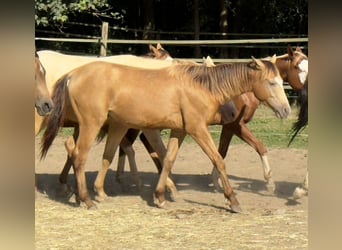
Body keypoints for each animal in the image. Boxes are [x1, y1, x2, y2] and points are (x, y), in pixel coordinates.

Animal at [40, 56, 292, 213]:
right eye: (271, 83)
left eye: (282, 81)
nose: (287, 110)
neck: (202, 86)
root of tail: (72, 75)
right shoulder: (197, 129)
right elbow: (219, 160)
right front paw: (233, 201)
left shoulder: (179, 130)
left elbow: (168, 160)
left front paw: (160, 197)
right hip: (92, 124)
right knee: (79, 156)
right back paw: (86, 199)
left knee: (100, 154)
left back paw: (93, 194)